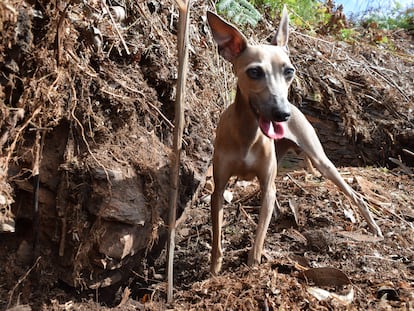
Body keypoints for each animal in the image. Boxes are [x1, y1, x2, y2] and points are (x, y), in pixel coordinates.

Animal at [206, 7, 382, 276]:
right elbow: (217, 237)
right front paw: (214, 270)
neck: (248, 133)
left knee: (354, 194)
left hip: (321, 161)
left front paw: (253, 267)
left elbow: (258, 238)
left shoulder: (267, 185)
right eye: (254, 72)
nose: (282, 114)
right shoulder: (219, 189)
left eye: (289, 71)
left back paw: (373, 227)